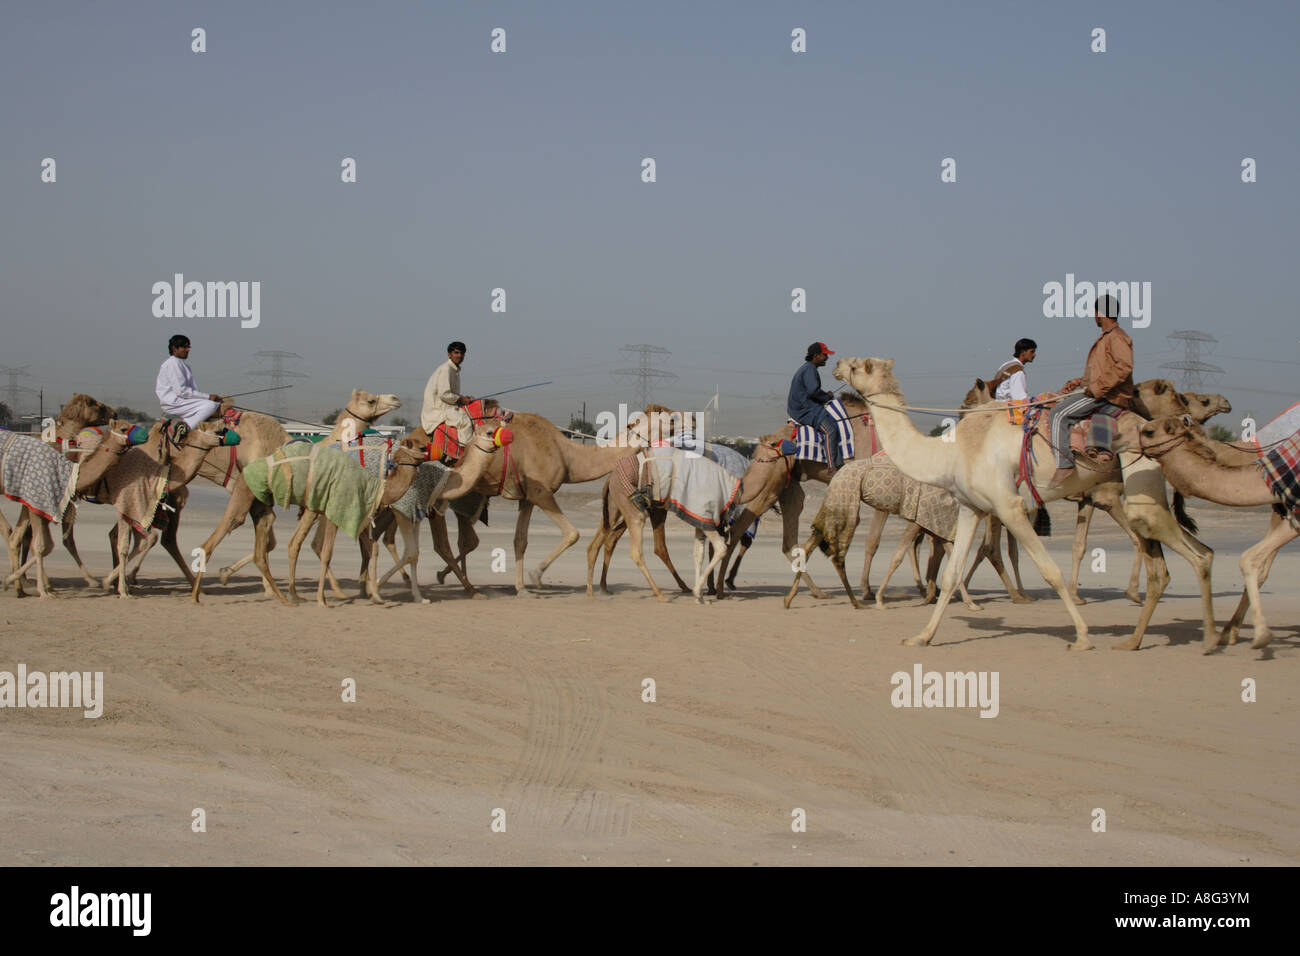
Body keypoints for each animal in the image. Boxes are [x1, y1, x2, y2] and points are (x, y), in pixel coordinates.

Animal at [1, 421, 135, 598]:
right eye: (123, 428)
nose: (143, 434)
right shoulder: (36, 501)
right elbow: (39, 545)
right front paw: (43, 591)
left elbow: (46, 545)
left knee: (14, 536)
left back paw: (20, 588)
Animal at [837, 356, 1211, 655]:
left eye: (861, 365)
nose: (838, 364)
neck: (952, 450)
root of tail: (1157, 428)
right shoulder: (971, 508)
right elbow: (952, 574)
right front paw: (922, 636)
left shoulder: (1010, 507)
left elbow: (1050, 571)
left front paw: (1082, 636)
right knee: (1182, 559)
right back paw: (1146, 638)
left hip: (1137, 482)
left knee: (1193, 556)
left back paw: (1208, 638)